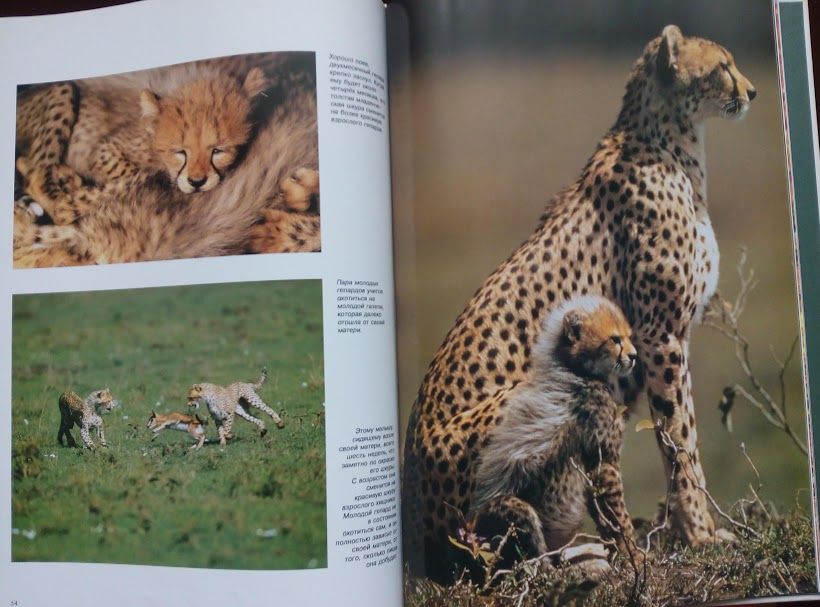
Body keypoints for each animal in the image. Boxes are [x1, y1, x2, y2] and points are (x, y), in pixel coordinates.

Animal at [402, 25, 756, 584]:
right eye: (723, 66)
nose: (753, 91)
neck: (670, 145)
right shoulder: (661, 337)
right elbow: (681, 440)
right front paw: (700, 534)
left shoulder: (659, 342)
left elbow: (677, 439)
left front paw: (684, 532)